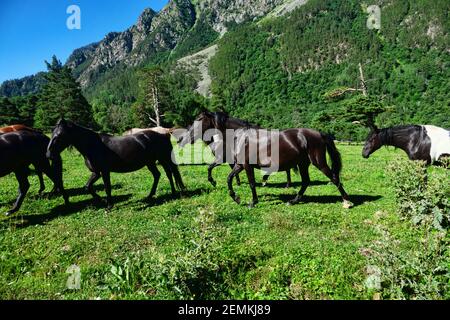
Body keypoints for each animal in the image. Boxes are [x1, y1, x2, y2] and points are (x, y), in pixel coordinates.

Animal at [47, 119, 185, 209]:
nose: (48, 155)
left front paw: (109, 205)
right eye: (52, 134)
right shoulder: (96, 172)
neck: (93, 145)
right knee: (158, 175)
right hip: (150, 162)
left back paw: (173, 193)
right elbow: (87, 187)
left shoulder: (104, 171)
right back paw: (150, 196)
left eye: (59, 135)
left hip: (163, 159)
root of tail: (163, 134)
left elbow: (107, 187)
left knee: (169, 173)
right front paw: (102, 200)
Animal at [179, 112, 352, 208]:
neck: (240, 136)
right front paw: (236, 198)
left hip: (318, 162)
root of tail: (319, 134)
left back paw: (347, 201)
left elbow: (251, 183)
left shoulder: (247, 166)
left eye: (199, 119)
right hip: (303, 164)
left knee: (334, 178)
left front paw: (252, 202)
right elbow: (229, 178)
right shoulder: (239, 165)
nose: (183, 138)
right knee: (305, 182)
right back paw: (293, 200)